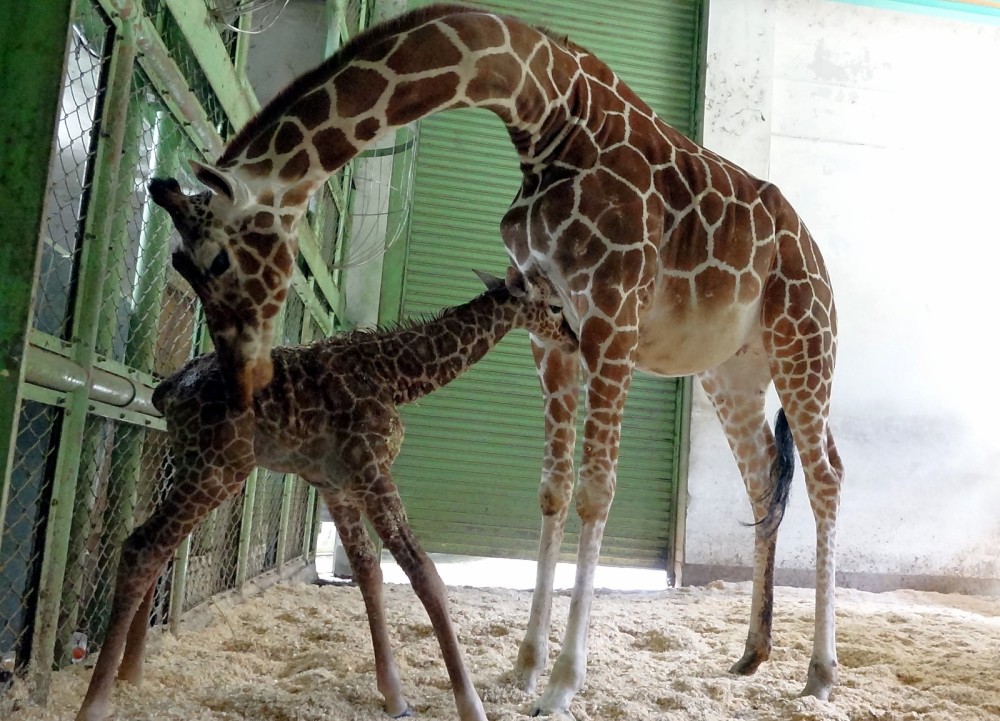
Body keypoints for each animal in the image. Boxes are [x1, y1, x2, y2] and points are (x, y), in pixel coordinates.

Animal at [76, 268, 580, 720]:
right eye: (556, 306)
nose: (575, 341)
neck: (398, 377)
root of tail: (165, 390)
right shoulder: (372, 468)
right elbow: (424, 574)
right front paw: (470, 706)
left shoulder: (337, 483)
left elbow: (368, 571)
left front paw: (395, 698)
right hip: (220, 467)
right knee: (142, 545)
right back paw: (95, 703)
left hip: (191, 462)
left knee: (155, 543)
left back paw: (131, 675)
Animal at [143, 4, 844, 716]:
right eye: (179, 265)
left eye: (215, 262)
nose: (244, 384)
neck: (550, 115)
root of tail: (814, 251)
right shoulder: (553, 329)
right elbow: (553, 488)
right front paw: (525, 667)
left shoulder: (611, 316)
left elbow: (597, 490)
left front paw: (562, 686)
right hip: (732, 371)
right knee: (763, 477)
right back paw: (753, 654)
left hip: (805, 342)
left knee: (826, 476)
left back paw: (820, 672)